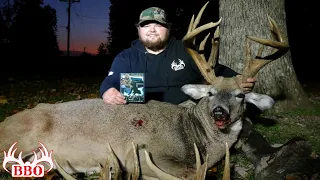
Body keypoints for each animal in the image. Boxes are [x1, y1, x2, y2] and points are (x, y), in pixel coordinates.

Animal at [0, 1, 288, 179]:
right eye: (210, 93)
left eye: (241, 95)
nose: (219, 113)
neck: (195, 136)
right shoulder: (149, 152)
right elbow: (188, 172)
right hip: (18, 138)